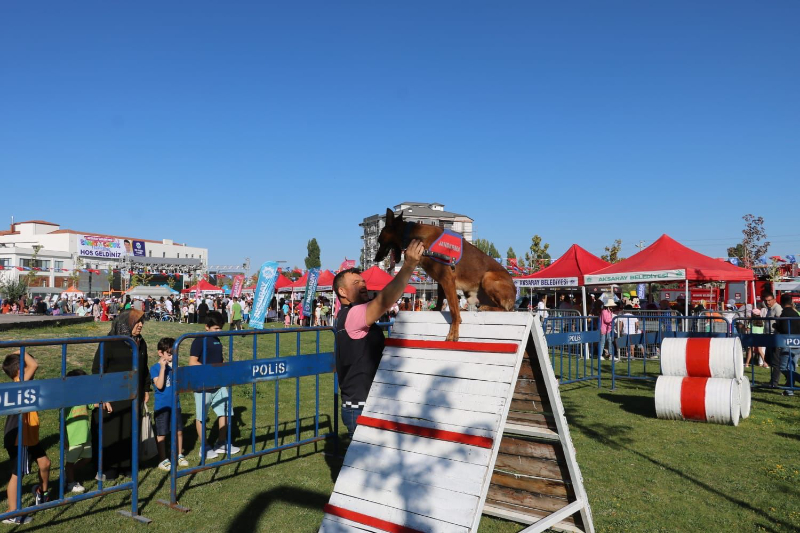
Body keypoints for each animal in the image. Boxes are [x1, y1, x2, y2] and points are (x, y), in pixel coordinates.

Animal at [372, 208, 516, 340]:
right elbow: (441, 298)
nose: (375, 259)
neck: (413, 235)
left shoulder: (447, 280)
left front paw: (454, 331)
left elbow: (453, 310)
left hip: (487, 277)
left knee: (506, 309)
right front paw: (436, 309)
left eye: (379, 240)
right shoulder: (441, 281)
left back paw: (485, 307)